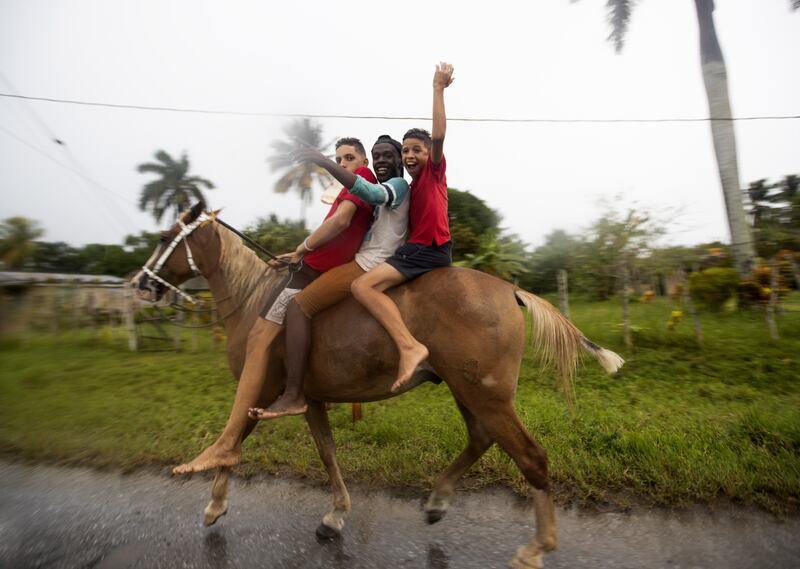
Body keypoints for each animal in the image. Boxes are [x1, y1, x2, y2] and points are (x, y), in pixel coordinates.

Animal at [131, 204, 624, 568]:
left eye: (163, 237)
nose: (139, 284)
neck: (255, 298)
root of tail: (508, 289)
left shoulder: (262, 391)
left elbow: (236, 437)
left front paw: (215, 499)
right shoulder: (308, 399)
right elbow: (328, 453)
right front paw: (335, 516)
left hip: (486, 394)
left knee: (531, 458)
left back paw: (536, 547)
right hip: (468, 389)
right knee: (481, 438)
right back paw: (437, 502)